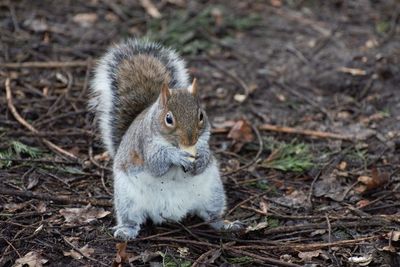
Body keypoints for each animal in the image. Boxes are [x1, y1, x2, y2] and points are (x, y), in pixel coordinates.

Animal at [89, 38, 242, 241]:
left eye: (201, 115)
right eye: (169, 119)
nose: (190, 140)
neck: (175, 144)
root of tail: (172, 213)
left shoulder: (203, 142)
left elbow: (203, 160)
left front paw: (201, 157)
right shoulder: (144, 145)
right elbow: (156, 165)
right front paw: (176, 156)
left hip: (213, 193)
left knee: (212, 215)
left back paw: (226, 225)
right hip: (127, 199)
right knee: (131, 219)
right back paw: (126, 231)